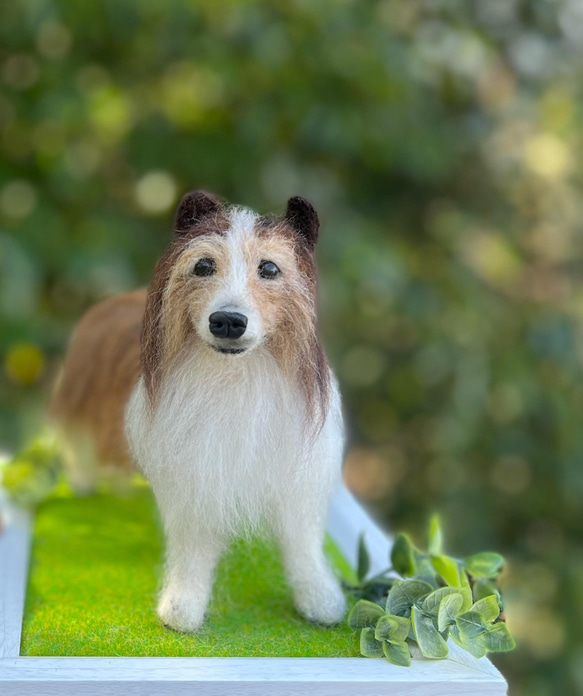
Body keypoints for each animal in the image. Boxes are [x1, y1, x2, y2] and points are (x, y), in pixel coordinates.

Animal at [50, 190, 346, 632]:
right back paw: (85, 480)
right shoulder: (196, 479)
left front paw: (319, 599)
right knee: (79, 444)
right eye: (204, 265)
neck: (235, 377)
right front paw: (183, 607)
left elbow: (302, 547)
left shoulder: (296, 484)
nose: (227, 321)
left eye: (269, 268)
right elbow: (192, 551)